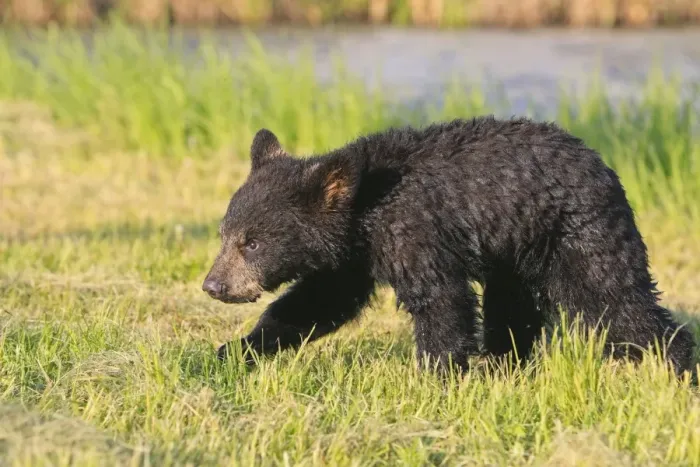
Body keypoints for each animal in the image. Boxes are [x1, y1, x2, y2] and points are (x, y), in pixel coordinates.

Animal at [202, 116, 695, 376]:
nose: (213, 285)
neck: (366, 209)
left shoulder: (417, 232)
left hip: (577, 233)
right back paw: (502, 364)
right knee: (513, 309)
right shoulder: (354, 258)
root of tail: (604, 164)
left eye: (253, 243)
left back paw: (673, 366)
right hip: (516, 251)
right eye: (224, 234)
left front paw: (436, 376)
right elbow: (317, 302)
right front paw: (236, 350)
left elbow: (440, 300)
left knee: (615, 297)